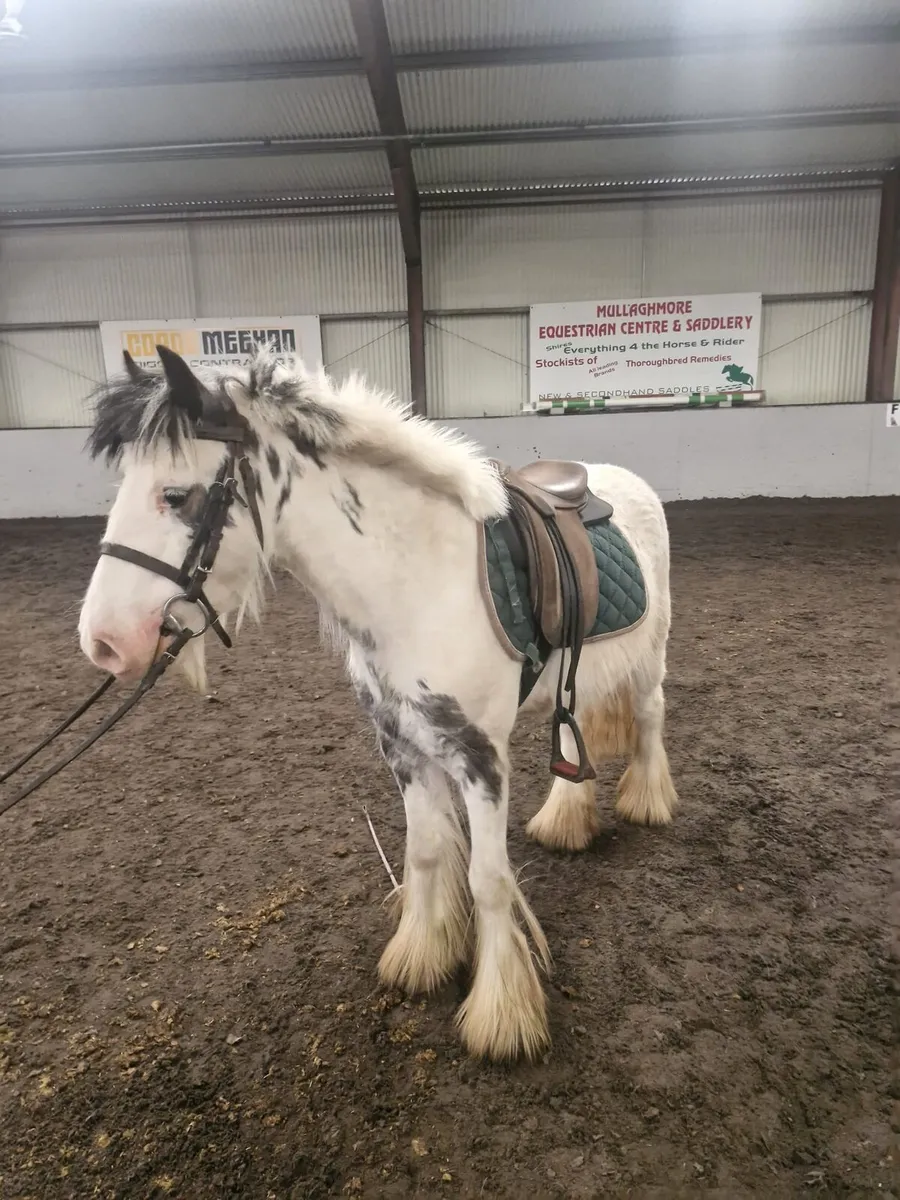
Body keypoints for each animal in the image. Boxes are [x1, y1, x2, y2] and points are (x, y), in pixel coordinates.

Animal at [77, 344, 678, 1063]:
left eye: (175, 494)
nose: (104, 643)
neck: (416, 585)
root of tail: (622, 481)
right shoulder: (401, 745)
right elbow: (424, 853)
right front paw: (420, 958)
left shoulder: (480, 757)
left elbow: (488, 880)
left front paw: (501, 1017)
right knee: (572, 734)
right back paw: (566, 820)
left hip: (650, 659)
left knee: (650, 716)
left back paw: (648, 801)